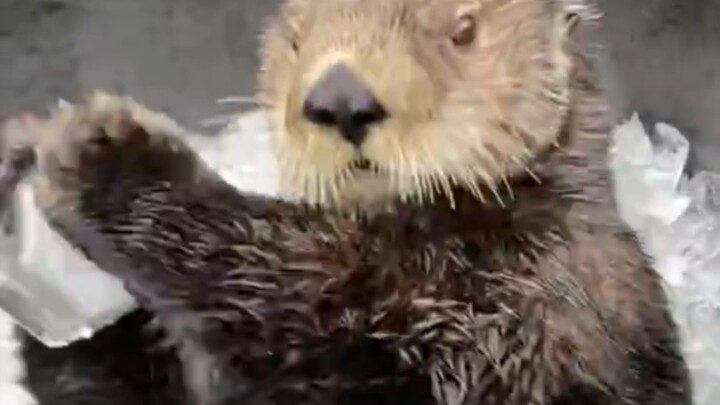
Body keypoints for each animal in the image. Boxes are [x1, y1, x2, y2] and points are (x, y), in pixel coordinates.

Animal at [2, 0, 691, 404]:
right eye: (297, 39)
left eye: (463, 31)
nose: (341, 101)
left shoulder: (525, 301)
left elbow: (287, 293)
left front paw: (107, 153)